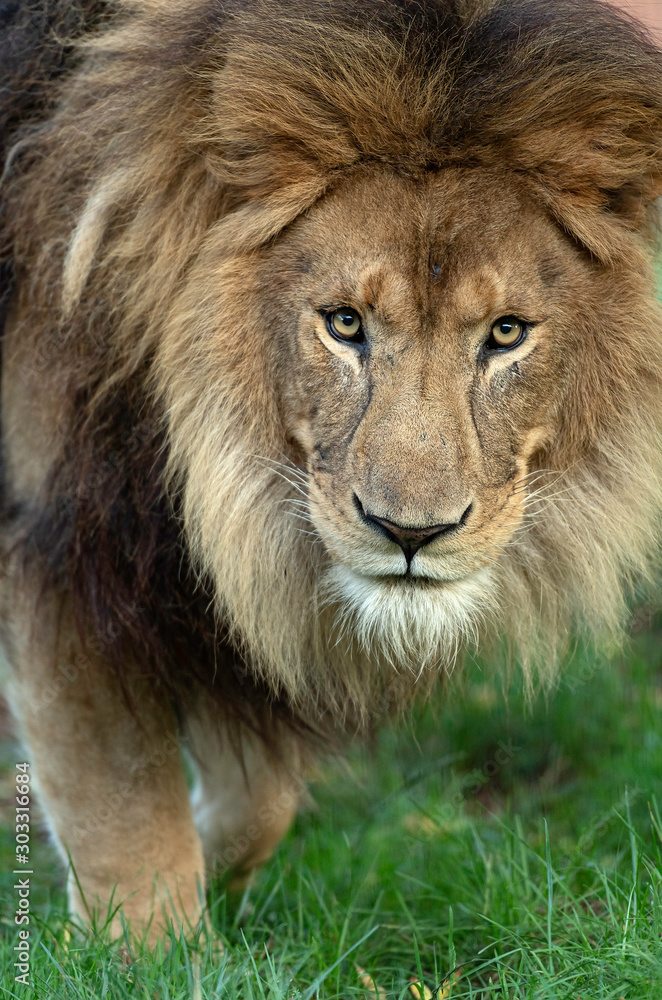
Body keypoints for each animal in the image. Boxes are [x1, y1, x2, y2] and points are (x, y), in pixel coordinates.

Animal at [1, 0, 662, 943]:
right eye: (345, 323)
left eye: (505, 333)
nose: (412, 534)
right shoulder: (60, 535)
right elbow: (121, 806)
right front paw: (148, 950)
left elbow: (257, 796)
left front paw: (206, 860)